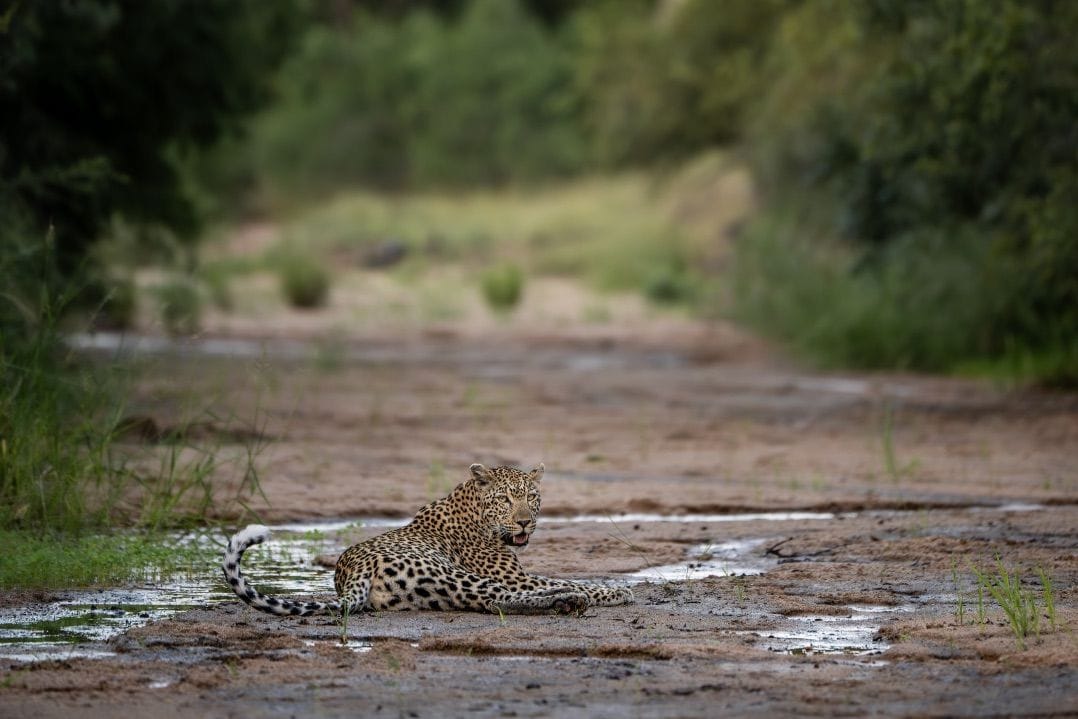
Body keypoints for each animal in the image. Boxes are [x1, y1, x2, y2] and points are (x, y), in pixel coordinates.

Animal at [222, 463, 634, 618]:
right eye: (505, 499)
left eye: (531, 497)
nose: (525, 523)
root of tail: (350, 573)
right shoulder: (513, 575)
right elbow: (572, 579)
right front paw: (616, 591)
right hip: (450, 573)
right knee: (497, 599)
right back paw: (568, 600)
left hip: (436, 588)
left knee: (491, 602)